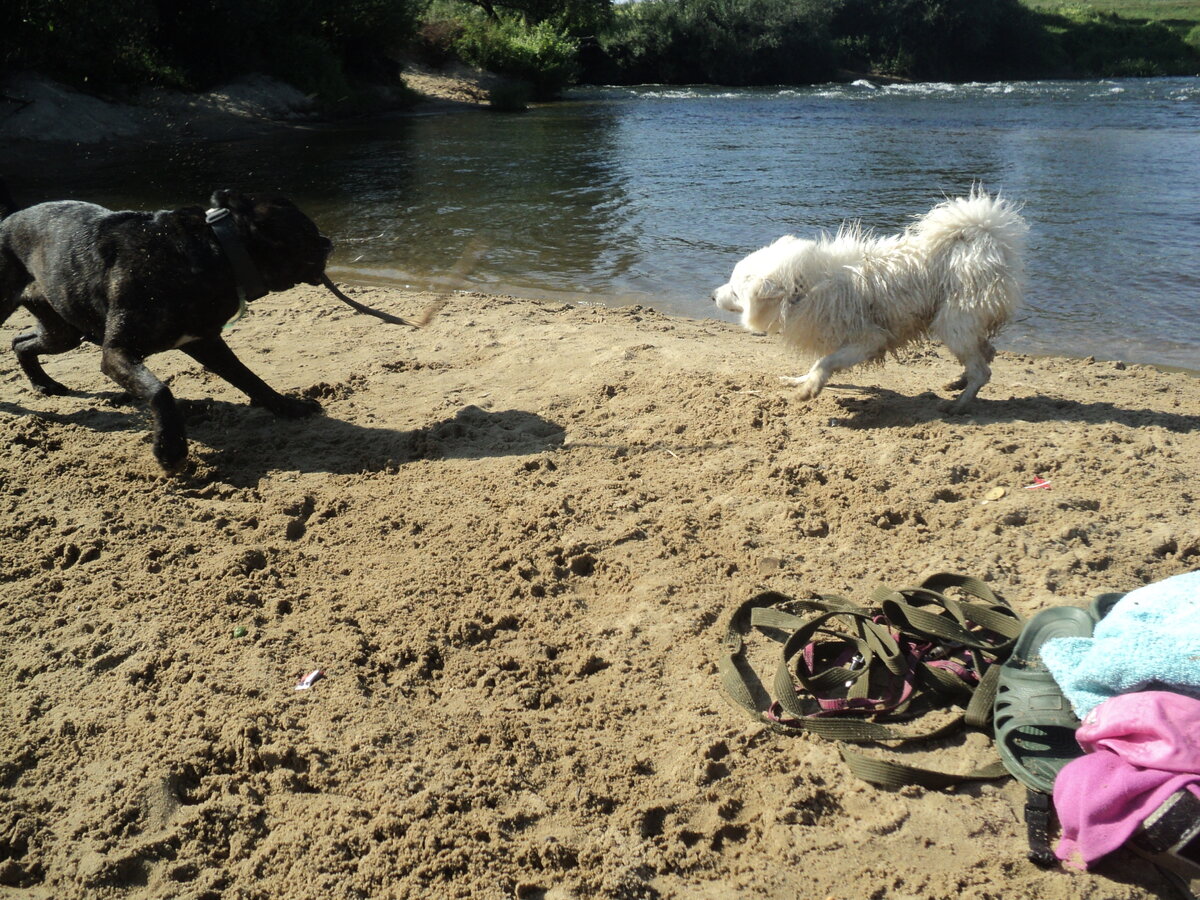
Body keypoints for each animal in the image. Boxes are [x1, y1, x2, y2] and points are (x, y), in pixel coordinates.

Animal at [1, 181, 333, 472]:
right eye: (309, 231)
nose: (329, 242)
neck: (215, 251)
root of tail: (8, 219)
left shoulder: (205, 341)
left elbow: (249, 378)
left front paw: (289, 407)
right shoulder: (118, 352)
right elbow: (160, 392)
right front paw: (170, 451)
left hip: (63, 332)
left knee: (21, 341)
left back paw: (44, 384)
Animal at [710, 194, 1032, 415]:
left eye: (734, 291)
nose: (712, 295)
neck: (801, 290)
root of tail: (985, 241)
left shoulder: (869, 339)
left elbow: (825, 362)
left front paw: (808, 389)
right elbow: (818, 363)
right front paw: (800, 380)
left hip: (953, 323)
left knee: (982, 370)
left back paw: (958, 405)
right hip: (961, 326)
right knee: (986, 353)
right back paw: (957, 383)